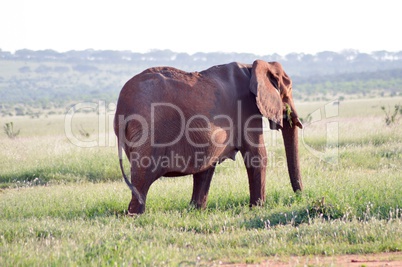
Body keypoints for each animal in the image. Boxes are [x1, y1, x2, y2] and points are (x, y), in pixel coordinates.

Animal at [113, 60, 302, 216]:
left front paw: (196, 211)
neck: (253, 67)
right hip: (148, 132)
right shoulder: (247, 108)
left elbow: (206, 166)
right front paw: (257, 209)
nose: (299, 197)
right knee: (142, 177)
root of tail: (122, 107)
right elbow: (257, 155)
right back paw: (135, 215)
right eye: (288, 91)